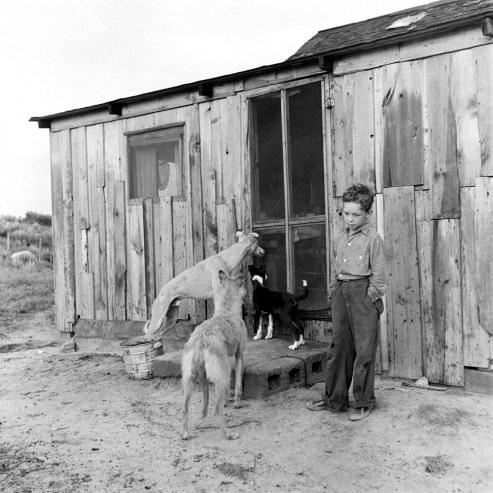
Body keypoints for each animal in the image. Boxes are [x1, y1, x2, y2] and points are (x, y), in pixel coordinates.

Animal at [181, 268, 248, 440]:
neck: (227, 310)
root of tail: (201, 342)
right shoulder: (239, 356)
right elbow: (238, 384)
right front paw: (237, 403)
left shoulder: (206, 375)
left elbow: (206, 401)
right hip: (221, 377)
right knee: (217, 409)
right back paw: (228, 434)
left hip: (190, 380)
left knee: (186, 407)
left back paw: (186, 433)